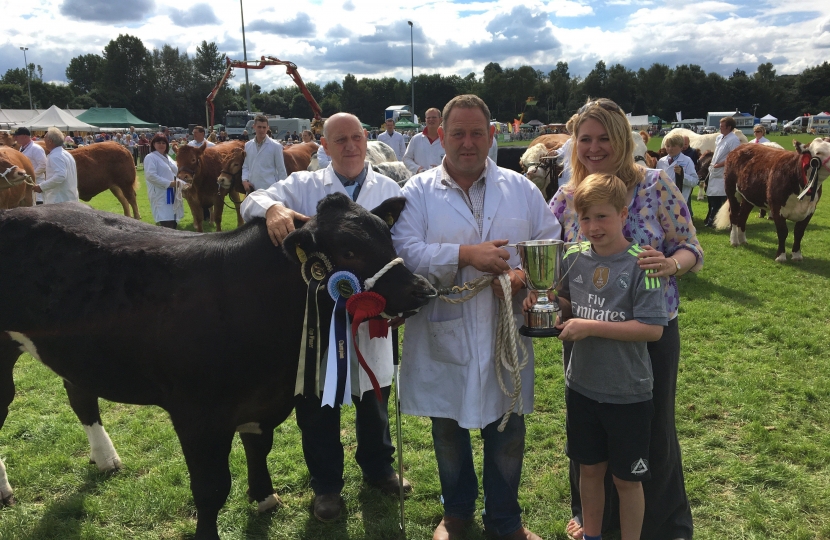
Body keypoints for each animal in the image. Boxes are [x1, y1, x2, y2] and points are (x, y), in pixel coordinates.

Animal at [0, 194, 432, 540]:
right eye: (350, 252)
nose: (421, 290)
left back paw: (106, 459)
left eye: (388, 237)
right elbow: (211, 488)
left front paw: (264, 497)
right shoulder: (197, 415)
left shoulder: (262, 399)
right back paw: (6, 490)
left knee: (80, 393)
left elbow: (258, 446)